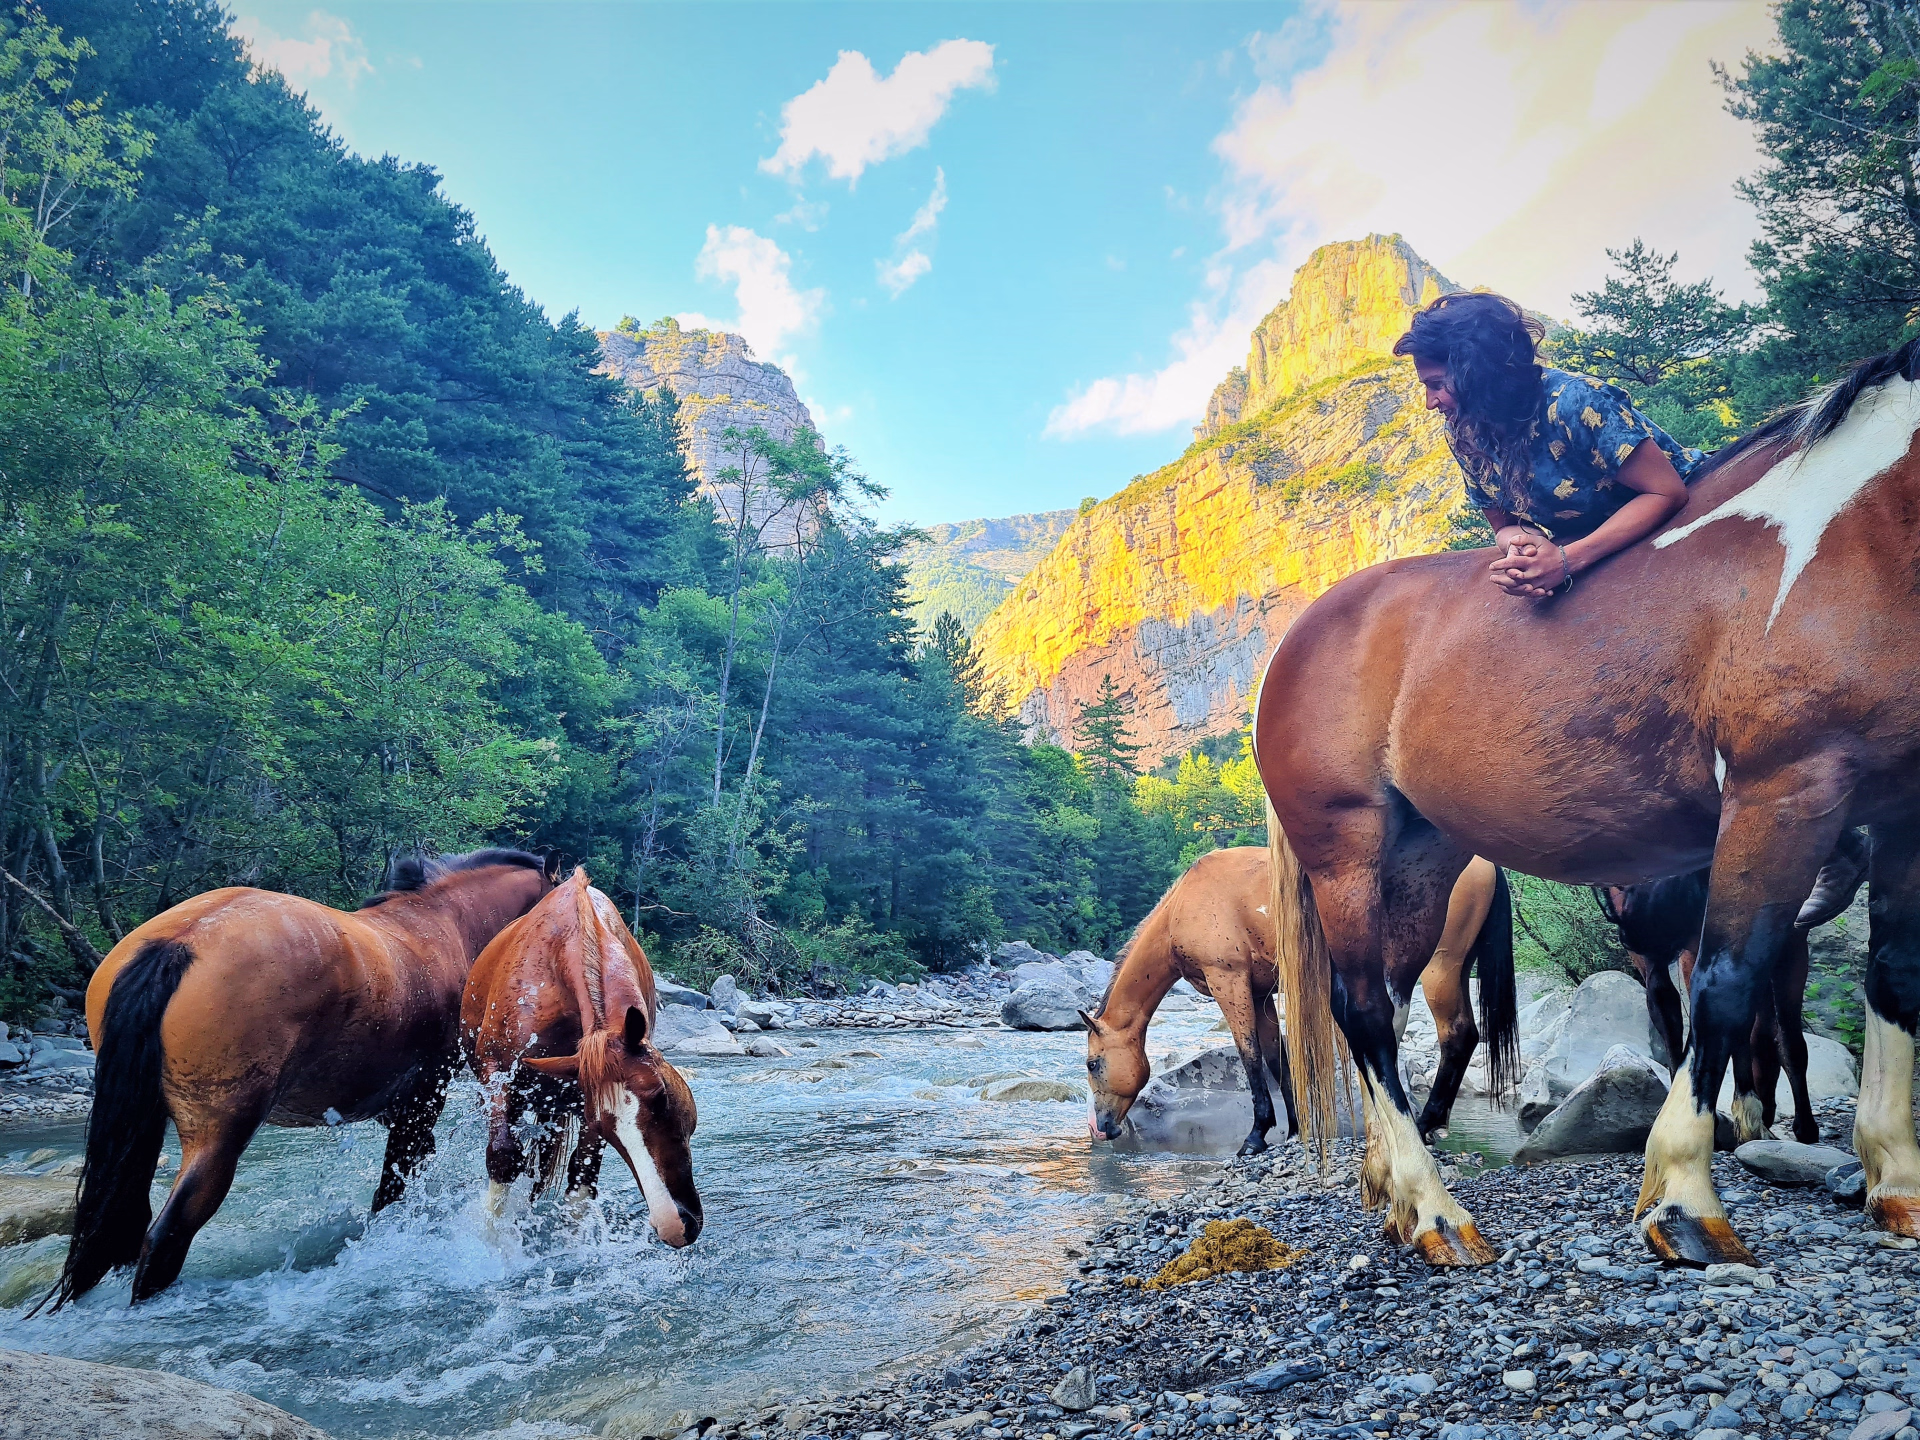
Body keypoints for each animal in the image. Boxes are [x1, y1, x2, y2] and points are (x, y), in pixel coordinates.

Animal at [48, 848, 558, 1308]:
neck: (443, 925)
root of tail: (179, 943)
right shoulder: (421, 1100)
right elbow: (391, 1191)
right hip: (218, 1136)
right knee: (167, 1234)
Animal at [461, 867, 701, 1247]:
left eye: (661, 1097)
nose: (675, 1226)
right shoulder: (496, 1073)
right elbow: (503, 1159)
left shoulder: (583, 1099)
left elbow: (581, 1179)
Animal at [1083, 845, 1516, 1157]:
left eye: (1092, 1063)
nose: (1099, 1128)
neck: (1187, 904)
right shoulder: (1260, 994)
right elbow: (1278, 1058)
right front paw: (1292, 1131)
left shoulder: (1229, 982)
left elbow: (1250, 1056)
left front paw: (1255, 1137)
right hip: (1455, 967)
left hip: (1439, 967)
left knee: (1457, 1035)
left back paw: (1426, 1125)